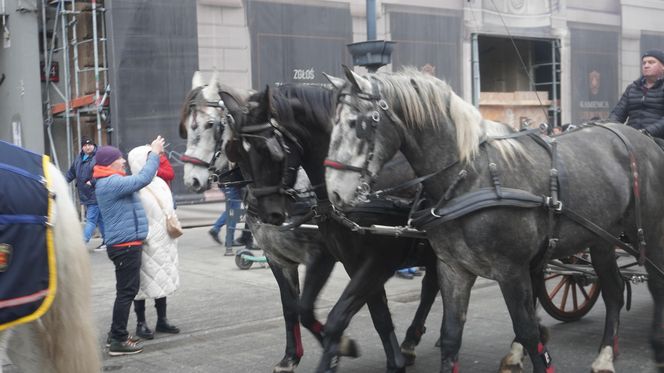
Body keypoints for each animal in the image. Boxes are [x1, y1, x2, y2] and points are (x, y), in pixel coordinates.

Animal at [322, 67, 664, 372]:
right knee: (614, 291)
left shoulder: (511, 270)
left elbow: (528, 332)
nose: (334, 193)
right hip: (601, 239)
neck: (471, 178)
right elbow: (450, 337)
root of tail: (641, 138)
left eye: (355, 123)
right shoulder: (454, 269)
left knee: (655, 283)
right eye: (332, 123)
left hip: (648, 232)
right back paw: (605, 355)